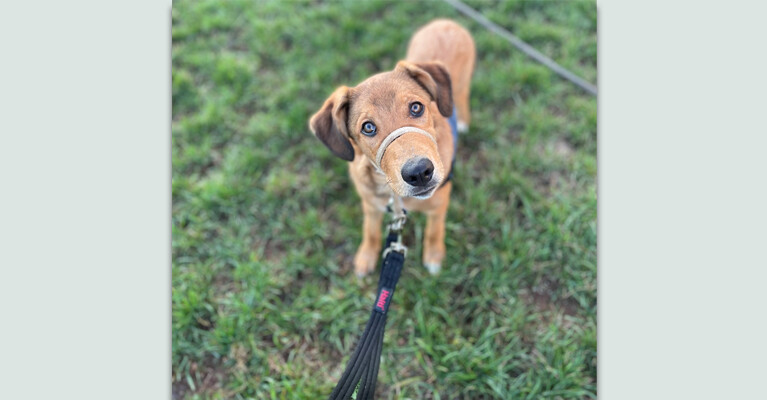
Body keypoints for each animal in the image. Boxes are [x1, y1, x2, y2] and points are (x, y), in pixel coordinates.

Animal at [310, 18, 474, 276]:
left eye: (416, 107)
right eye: (368, 127)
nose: (419, 173)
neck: (393, 195)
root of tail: (445, 22)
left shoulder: (439, 205)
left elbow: (434, 231)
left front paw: (434, 257)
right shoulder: (370, 205)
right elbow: (370, 231)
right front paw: (366, 258)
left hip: (462, 83)